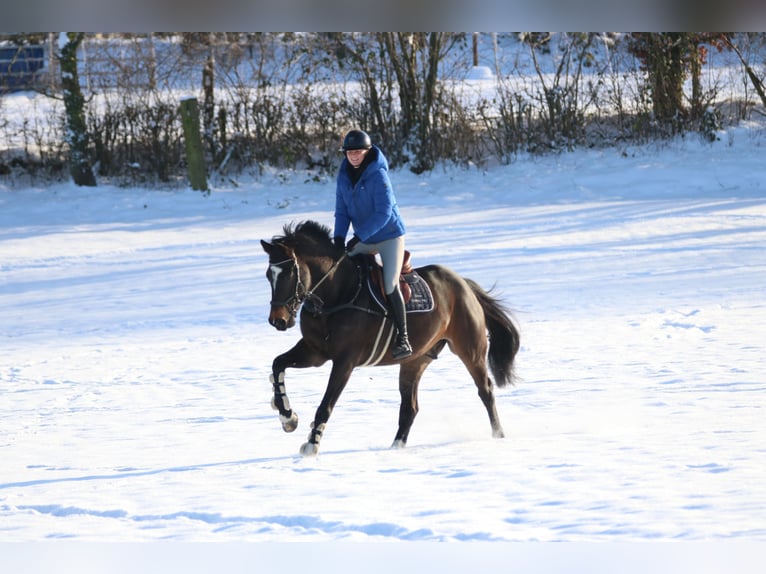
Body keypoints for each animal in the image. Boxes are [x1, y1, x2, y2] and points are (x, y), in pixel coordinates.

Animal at [260, 222, 520, 460]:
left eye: (289, 274)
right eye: (268, 275)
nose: (277, 321)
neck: (336, 294)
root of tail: (464, 284)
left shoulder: (345, 361)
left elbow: (326, 404)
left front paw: (312, 444)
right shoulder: (314, 352)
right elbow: (277, 364)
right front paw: (287, 416)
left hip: (470, 350)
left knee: (485, 390)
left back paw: (498, 435)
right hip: (415, 361)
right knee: (410, 407)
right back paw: (396, 446)